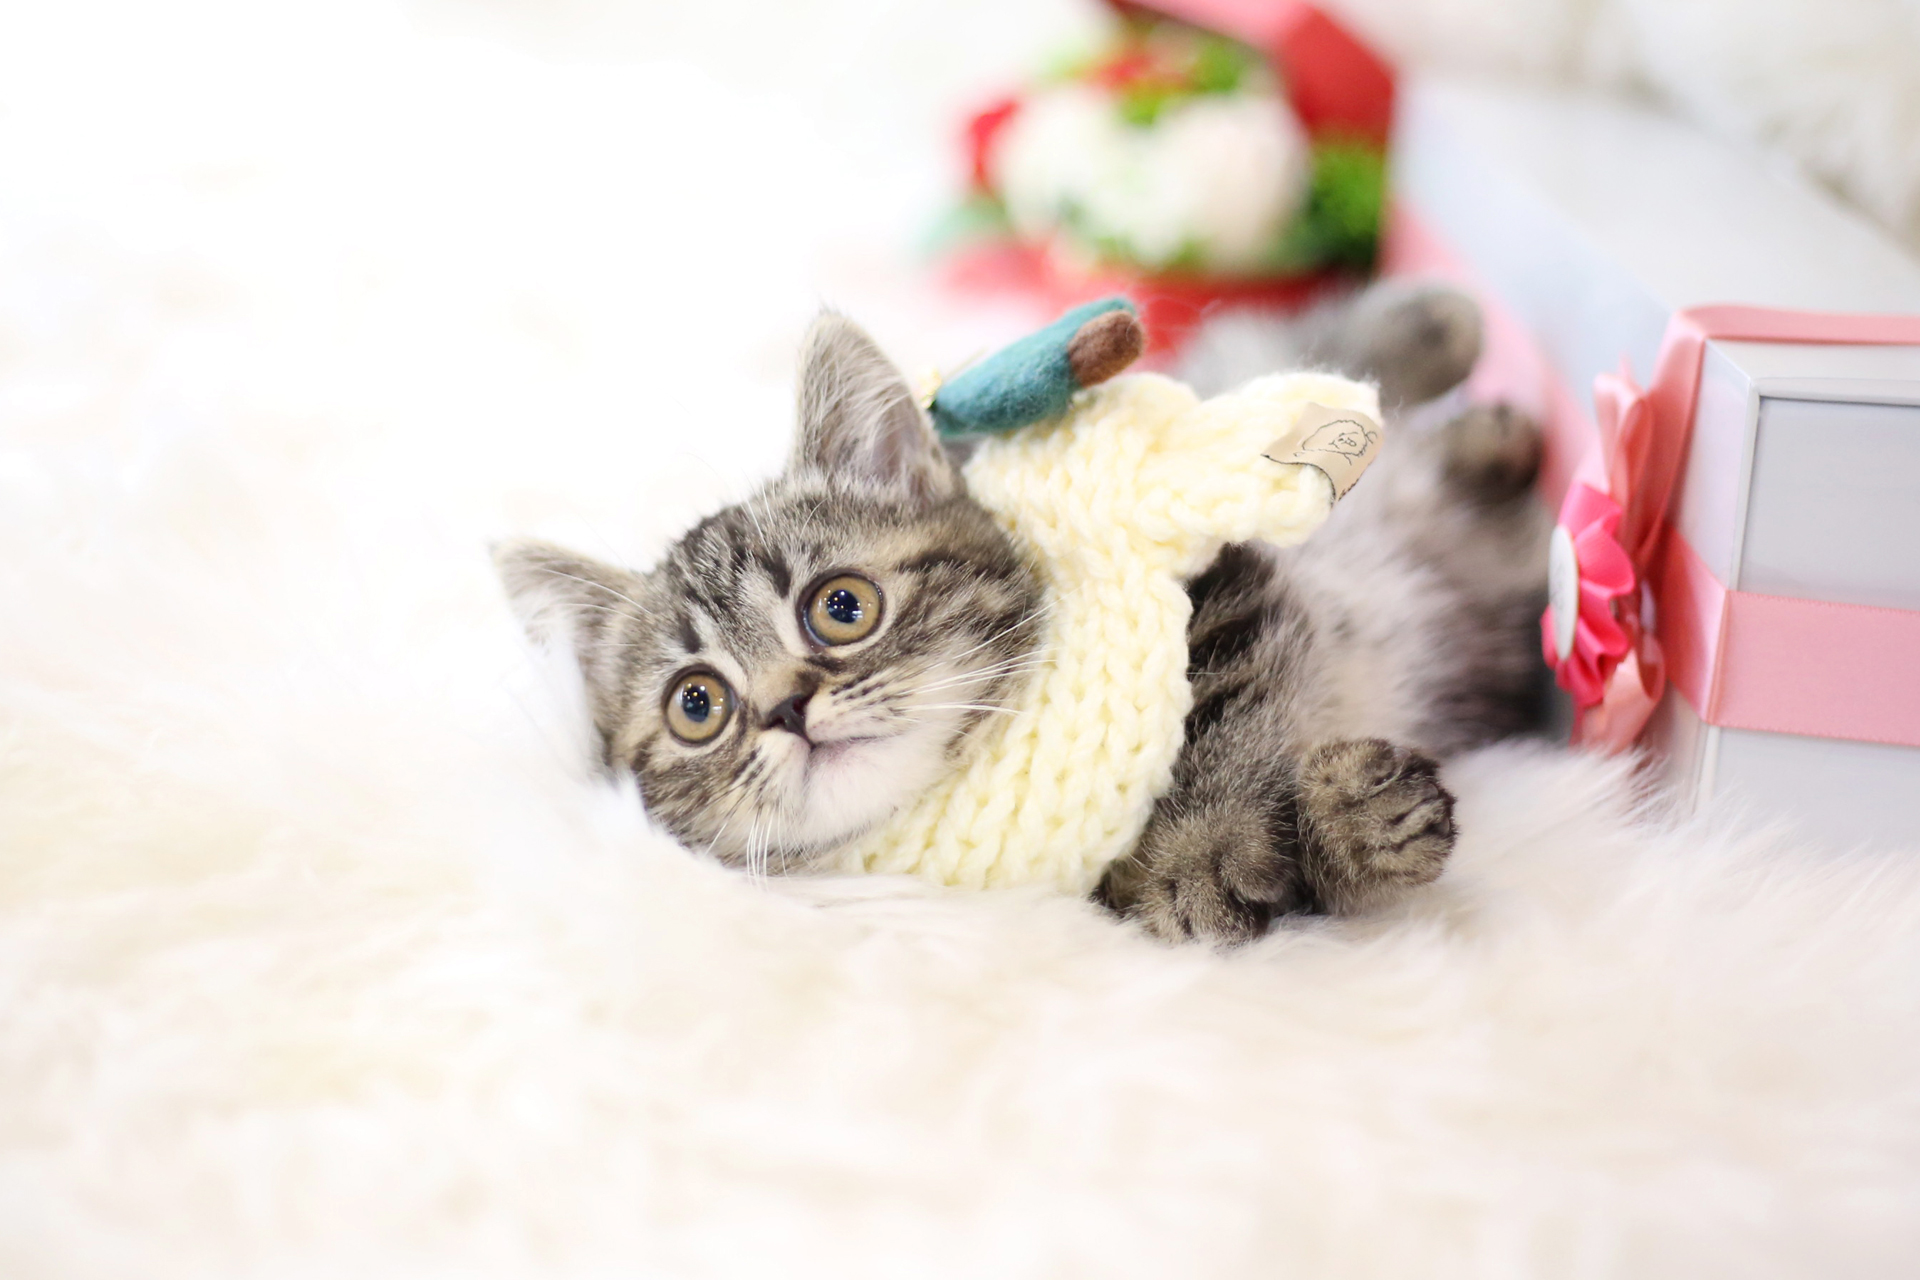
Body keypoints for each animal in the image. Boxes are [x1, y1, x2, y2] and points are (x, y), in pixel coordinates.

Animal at [495, 283, 1549, 943]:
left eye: (842, 607)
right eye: (698, 706)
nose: (789, 709)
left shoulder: (1198, 582)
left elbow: (1218, 711)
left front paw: (1202, 845)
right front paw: (1347, 831)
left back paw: (1443, 340)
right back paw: (1497, 442)